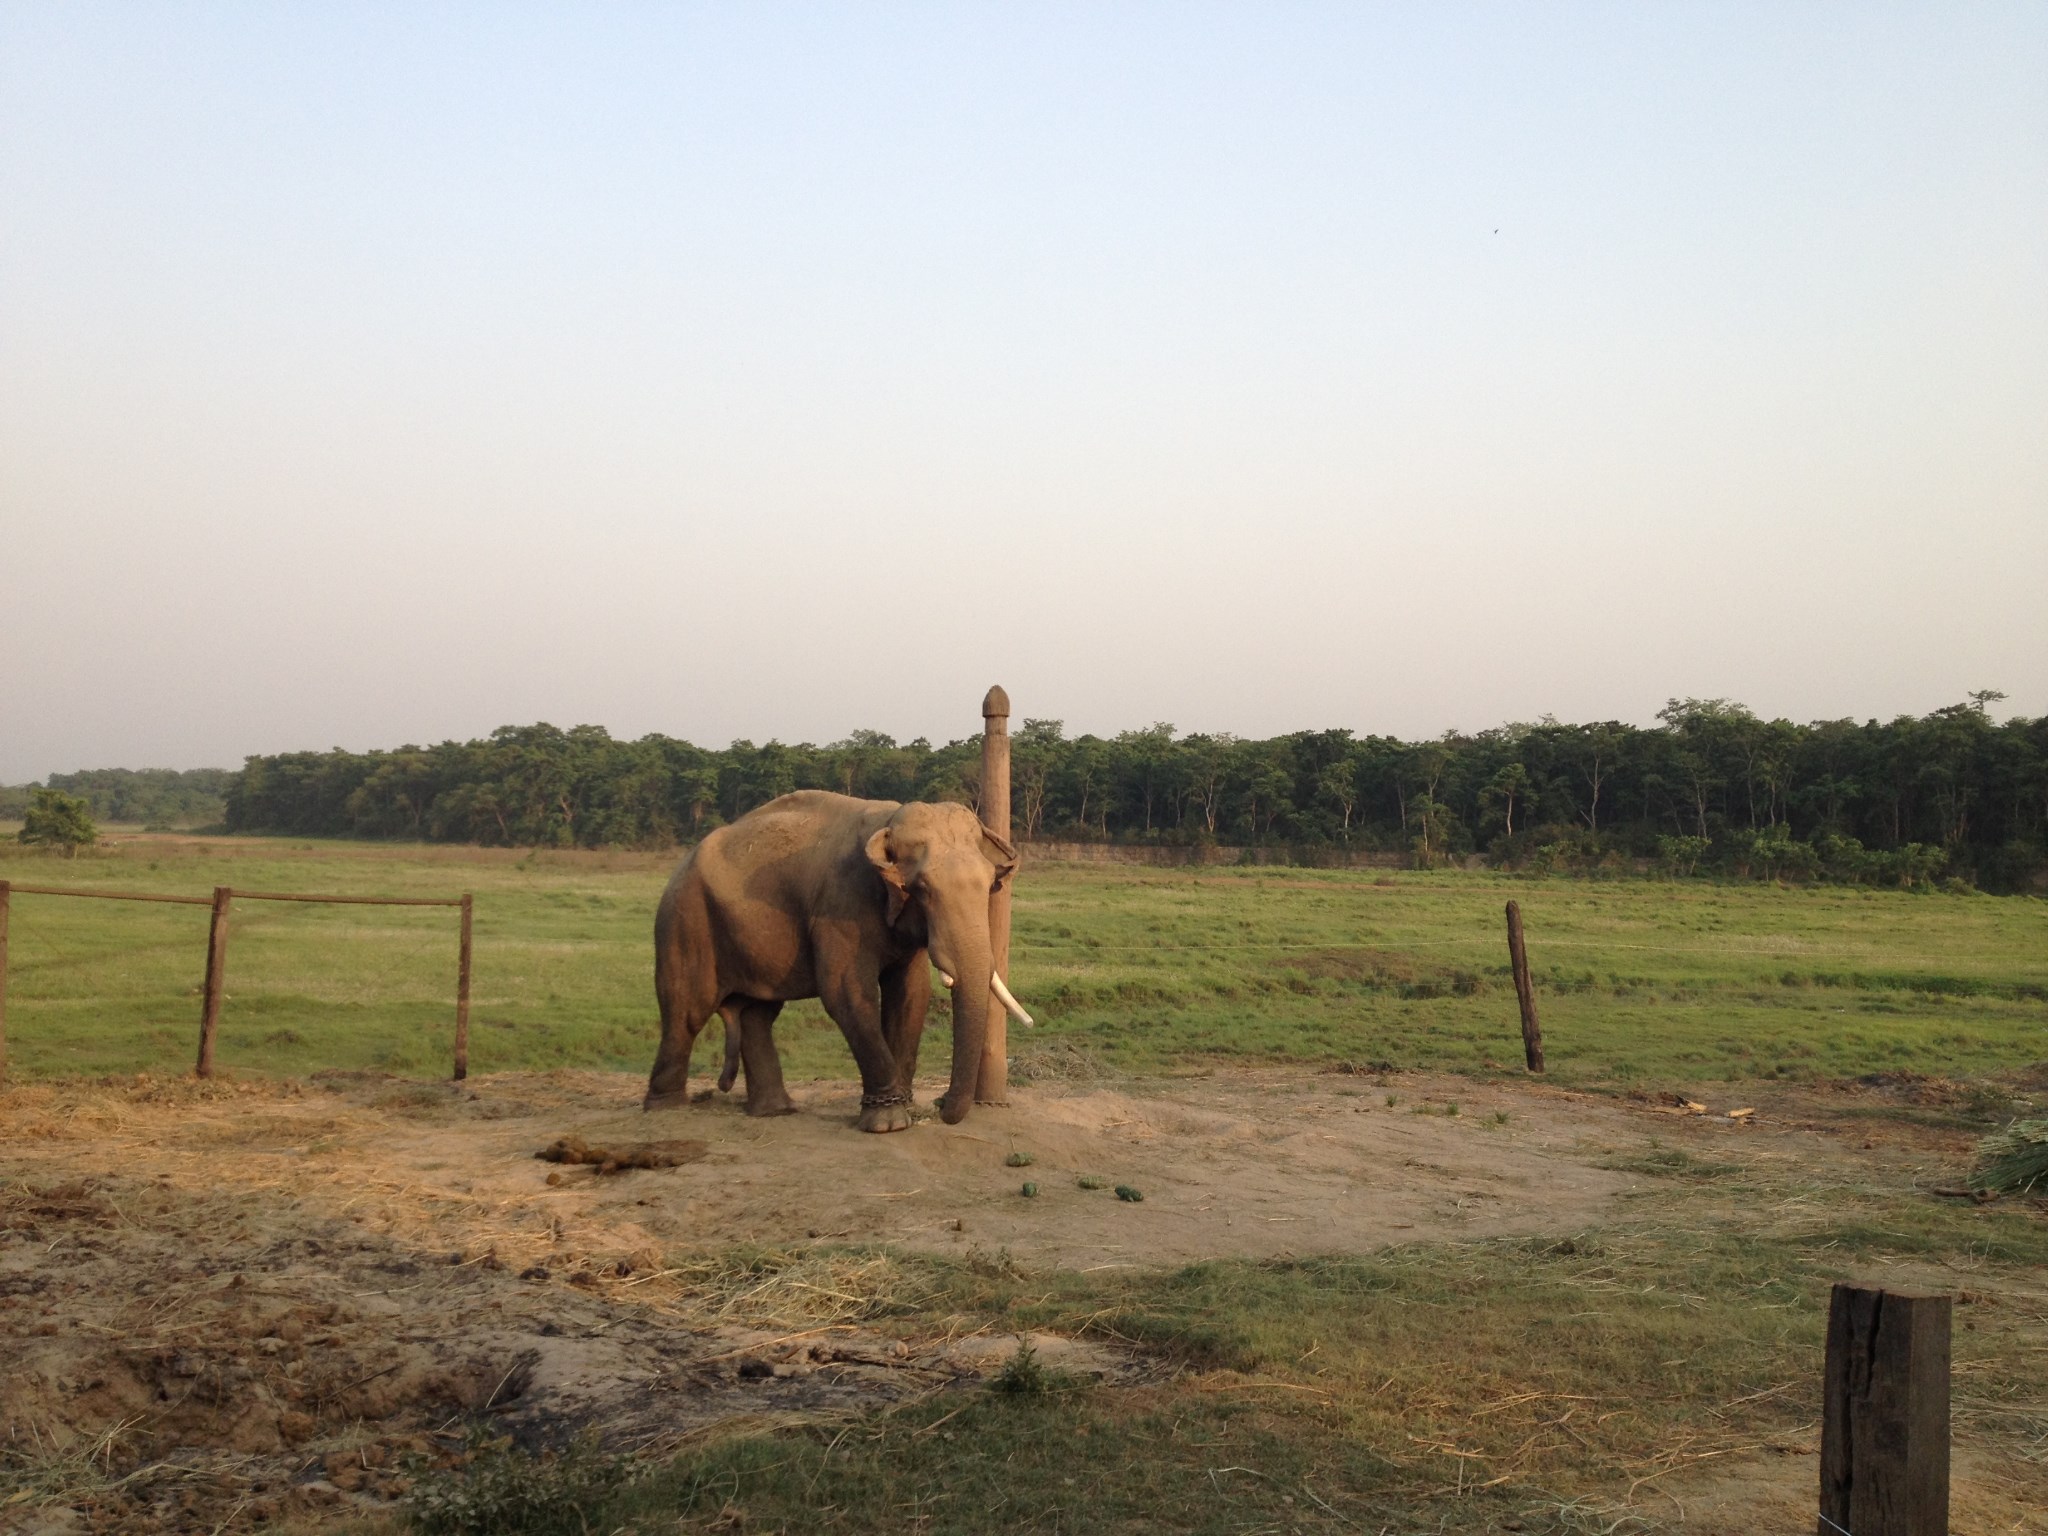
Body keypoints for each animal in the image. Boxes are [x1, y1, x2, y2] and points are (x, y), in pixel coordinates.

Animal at [638, 794, 1032, 1130]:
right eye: (922, 889)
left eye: (990, 885)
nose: (941, 1102)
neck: (889, 820)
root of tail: (682, 863)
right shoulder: (840, 905)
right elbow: (847, 992)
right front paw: (889, 1122)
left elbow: (910, 995)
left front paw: (903, 1109)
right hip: (686, 921)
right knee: (687, 1011)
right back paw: (666, 1107)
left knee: (757, 1013)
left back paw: (775, 1110)